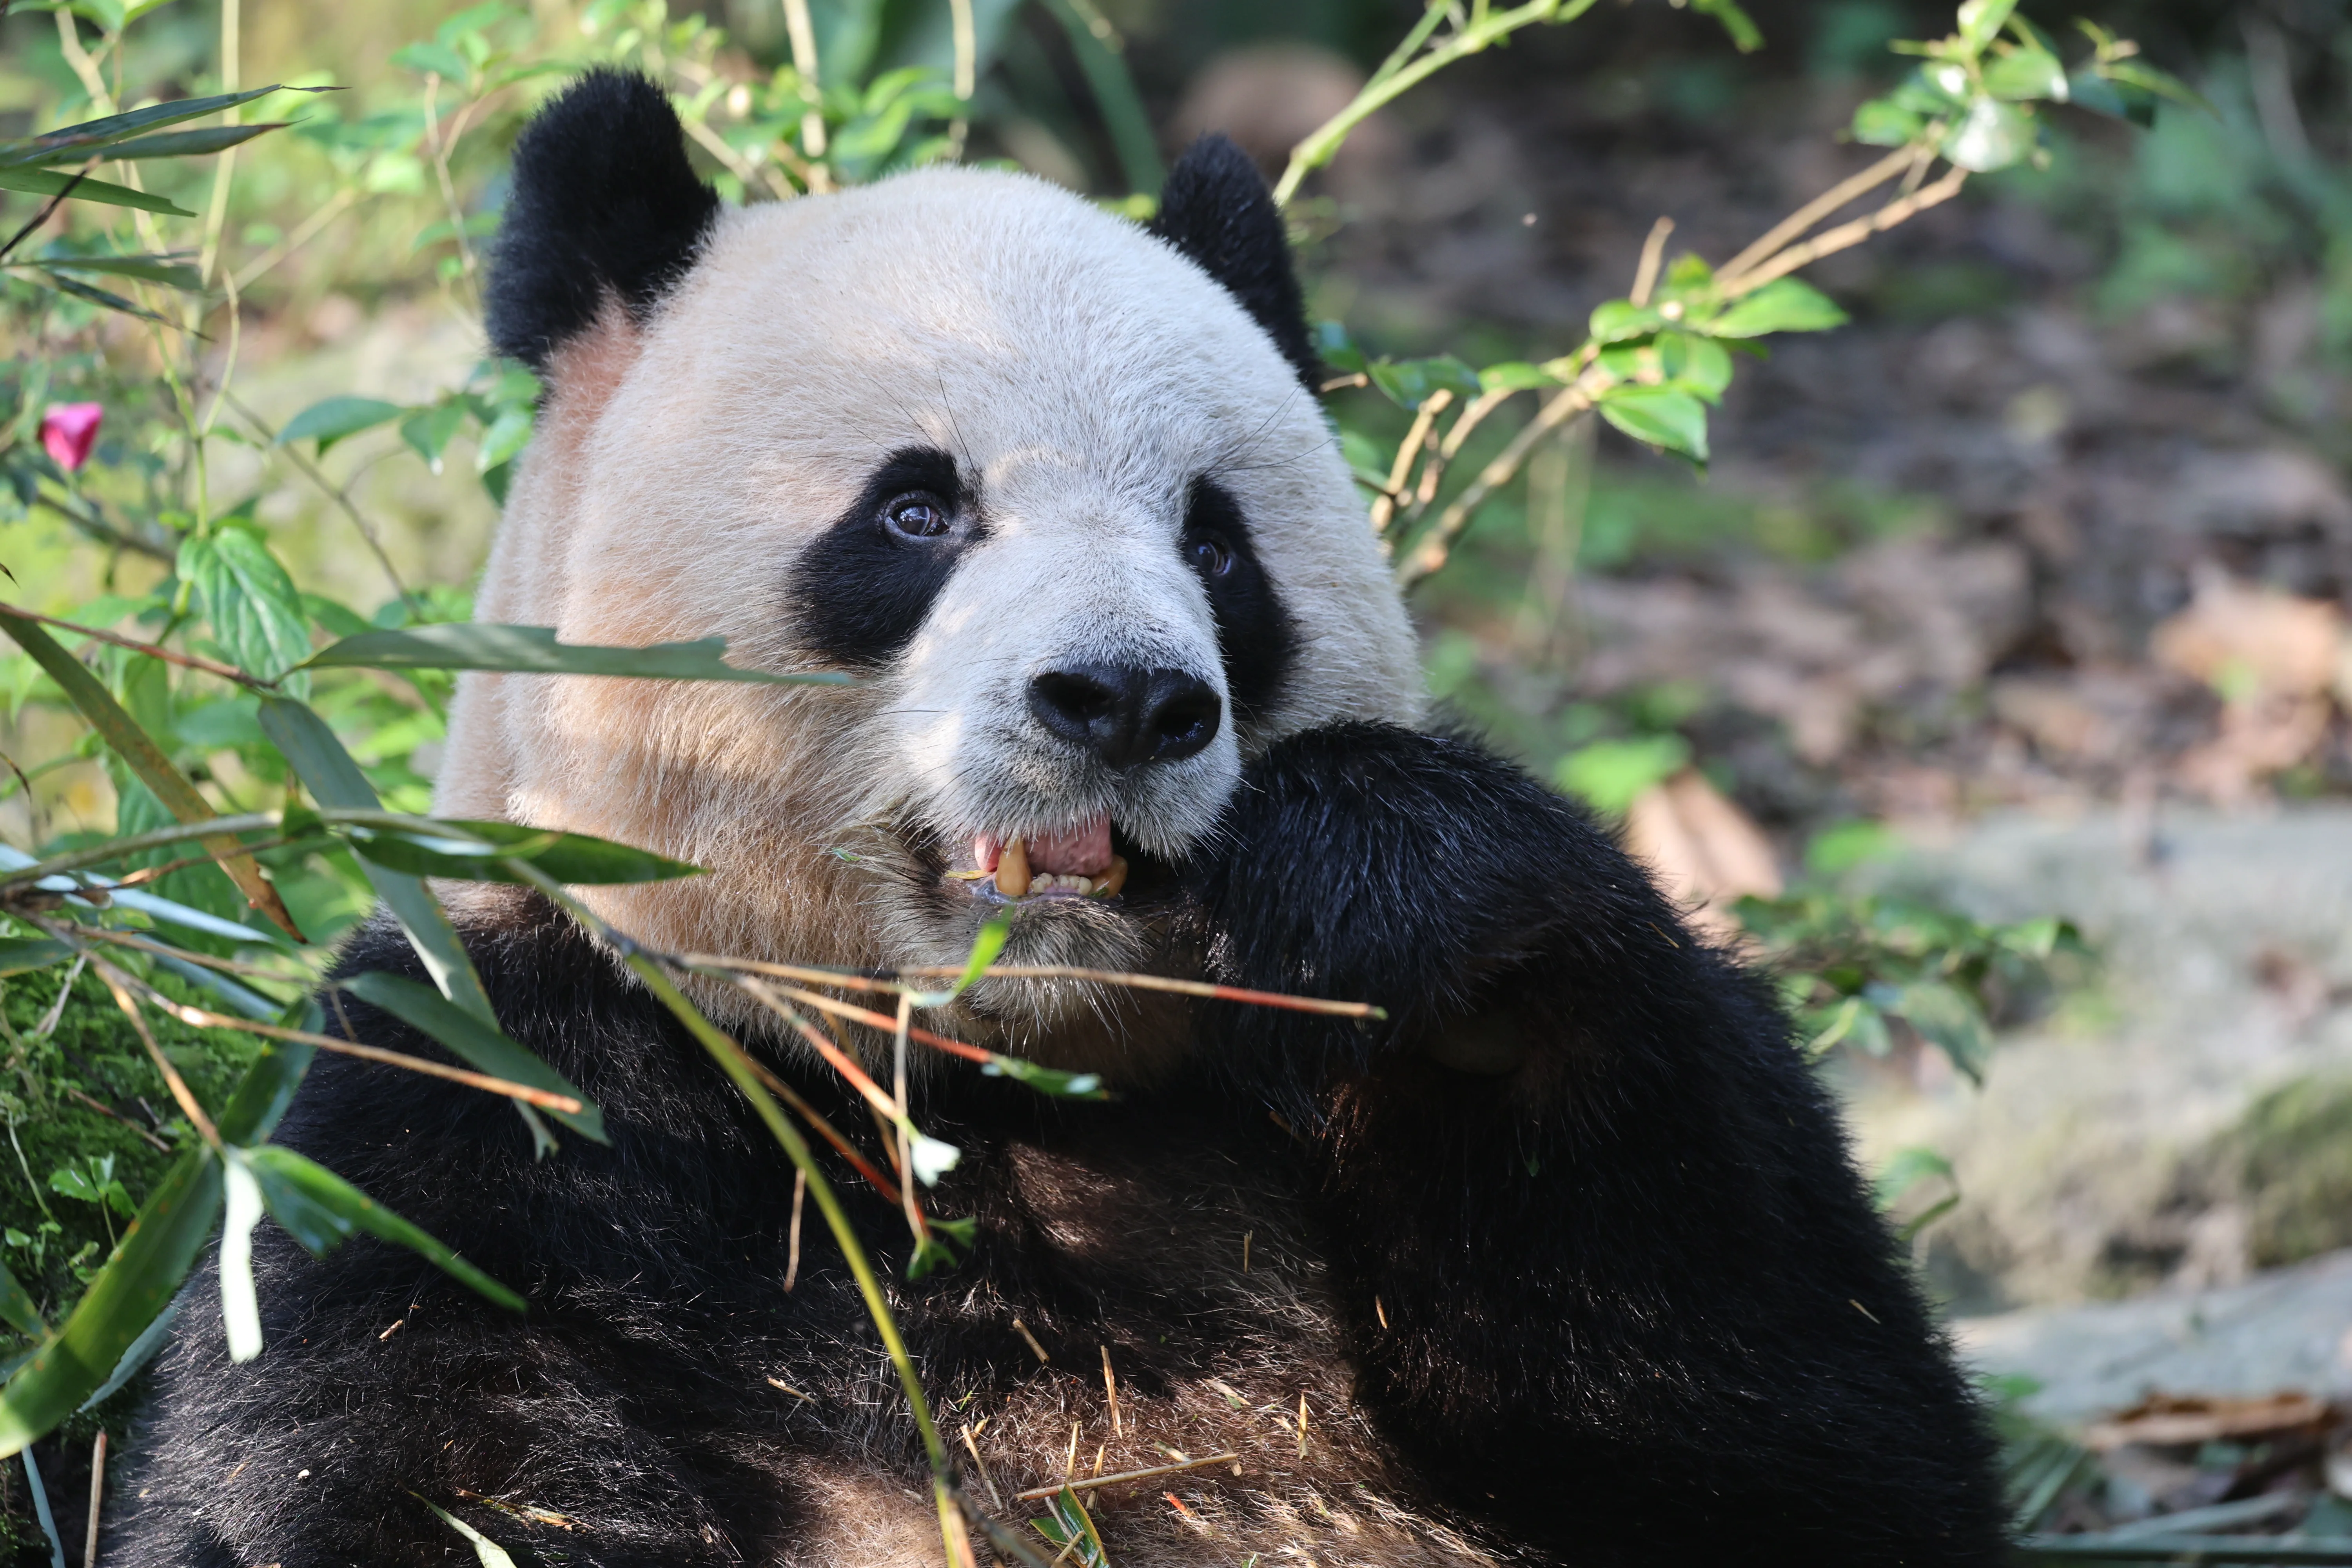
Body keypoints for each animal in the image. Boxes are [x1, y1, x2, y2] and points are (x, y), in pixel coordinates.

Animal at [111, 70, 2007, 1567]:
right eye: (916, 509)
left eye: (1216, 542)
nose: (1127, 700)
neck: (997, 1086)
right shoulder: (488, 1104)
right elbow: (393, 1466)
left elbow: (1806, 1436)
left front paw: (1393, 904)